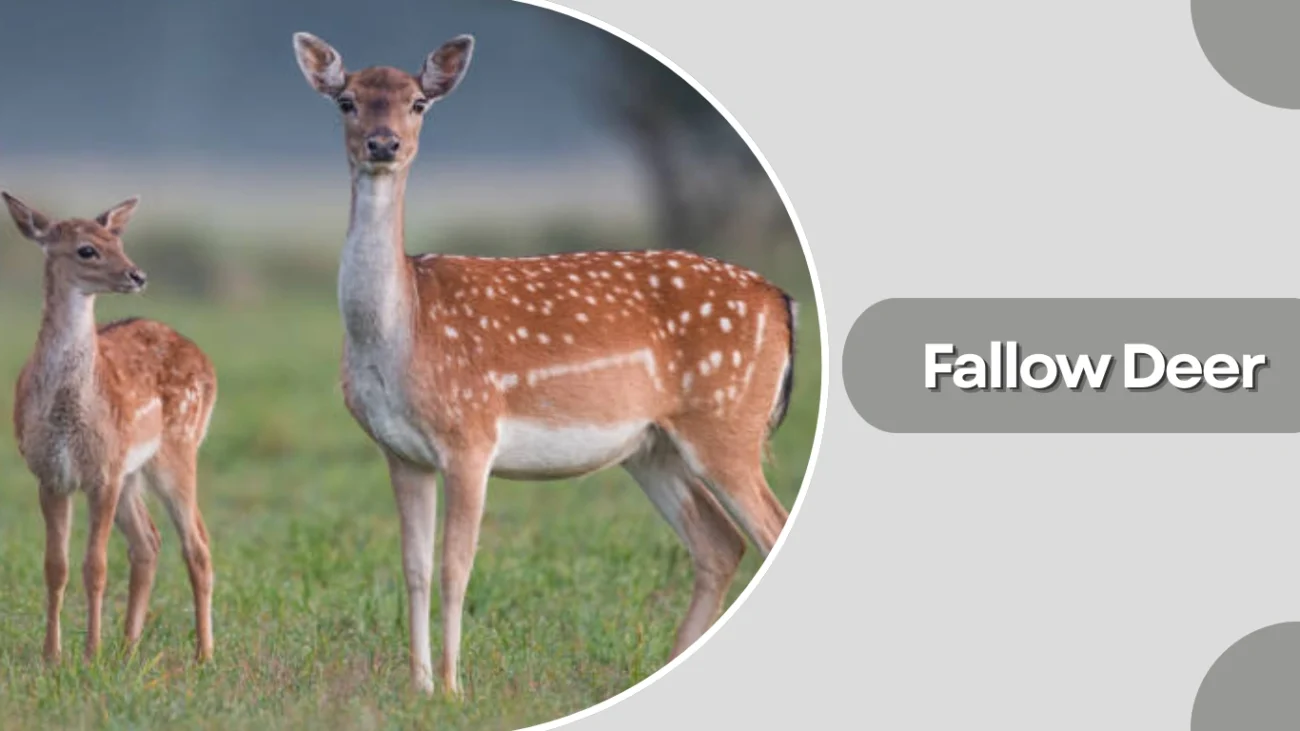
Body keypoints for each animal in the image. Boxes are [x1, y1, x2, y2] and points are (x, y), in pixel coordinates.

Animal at [3, 192, 218, 665]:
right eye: (87, 249)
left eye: (118, 240)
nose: (137, 274)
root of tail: (205, 359)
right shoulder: (52, 473)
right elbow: (56, 566)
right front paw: (53, 656)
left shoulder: (102, 472)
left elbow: (95, 566)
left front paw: (90, 653)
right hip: (132, 471)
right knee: (148, 542)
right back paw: (129, 647)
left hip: (178, 449)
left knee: (197, 544)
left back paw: (204, 654)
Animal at [291, 31, 798, 696]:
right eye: (346, 101)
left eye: (418, 103)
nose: (383, 143)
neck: (402, 331)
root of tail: (781, 301)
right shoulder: (400, 451)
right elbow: (413, 567)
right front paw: (419, 687)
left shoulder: (471, 434)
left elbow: (456, 566)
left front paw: (452, 689)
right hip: (652, 447)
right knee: (719, 543)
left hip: (726, 421)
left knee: (765, 529)